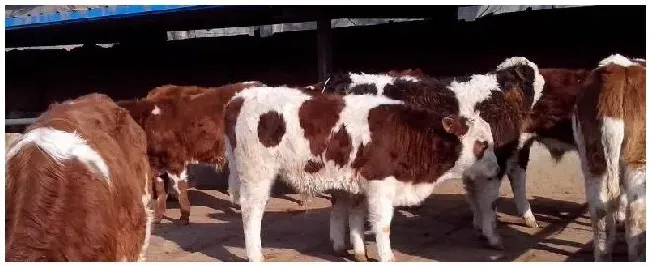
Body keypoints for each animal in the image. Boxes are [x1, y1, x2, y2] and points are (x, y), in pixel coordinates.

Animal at [117, 81, 262, 224]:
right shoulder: (157, 163)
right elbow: (161, 190)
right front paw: (158, 217)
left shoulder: (175, 159)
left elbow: (180, 187)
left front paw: (184, 216)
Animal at [223, 86, 496, 260]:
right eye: (482, 144)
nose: (496, 169)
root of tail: (240, 97)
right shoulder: (380, 185)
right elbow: (382, 226)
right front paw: (387, 257)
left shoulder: (359, 184)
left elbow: (355, 217)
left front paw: (360, 253)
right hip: (256, 174)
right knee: (251, 212)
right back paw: (256, 255)